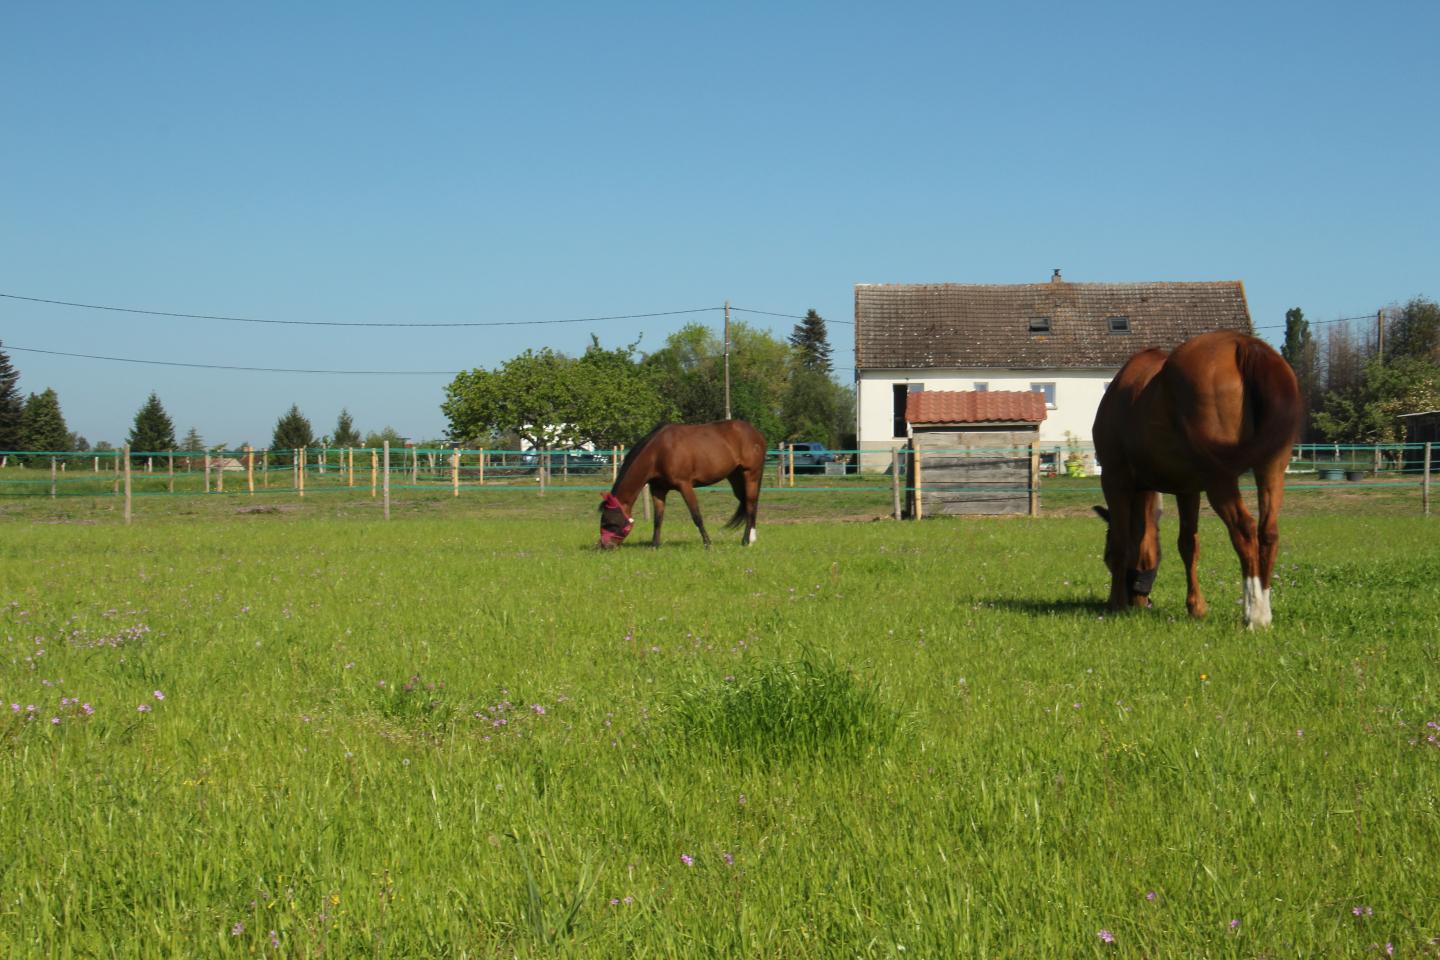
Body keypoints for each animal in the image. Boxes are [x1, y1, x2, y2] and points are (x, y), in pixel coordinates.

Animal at [596, 417, 766, 546]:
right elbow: (658, 518)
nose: (603, 546)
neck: (658, 453)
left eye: (608, 523)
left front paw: (707, 543)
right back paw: (752, 538)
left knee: (750, 504)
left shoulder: (685, 485)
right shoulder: (658, 489)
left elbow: (696, 515)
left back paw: (747, 540)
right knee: (746, 502)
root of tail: (756, 433)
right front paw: (654, 545)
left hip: (751, 475)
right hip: (735, 477)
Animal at [1088, 331, 1307, 630]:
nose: (1139, 601)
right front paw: (1196, 607)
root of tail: (1243, 344)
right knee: (1268, 532)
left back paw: (1254, 613)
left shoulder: (1115, 480)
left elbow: (1123, 542)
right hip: (1271, 469)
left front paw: (1115, 604)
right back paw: (1264, 608)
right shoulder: (1188, 490)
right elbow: (1188, 545)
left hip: (1220, 479)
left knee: (1245, 530)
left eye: (1106, 557)